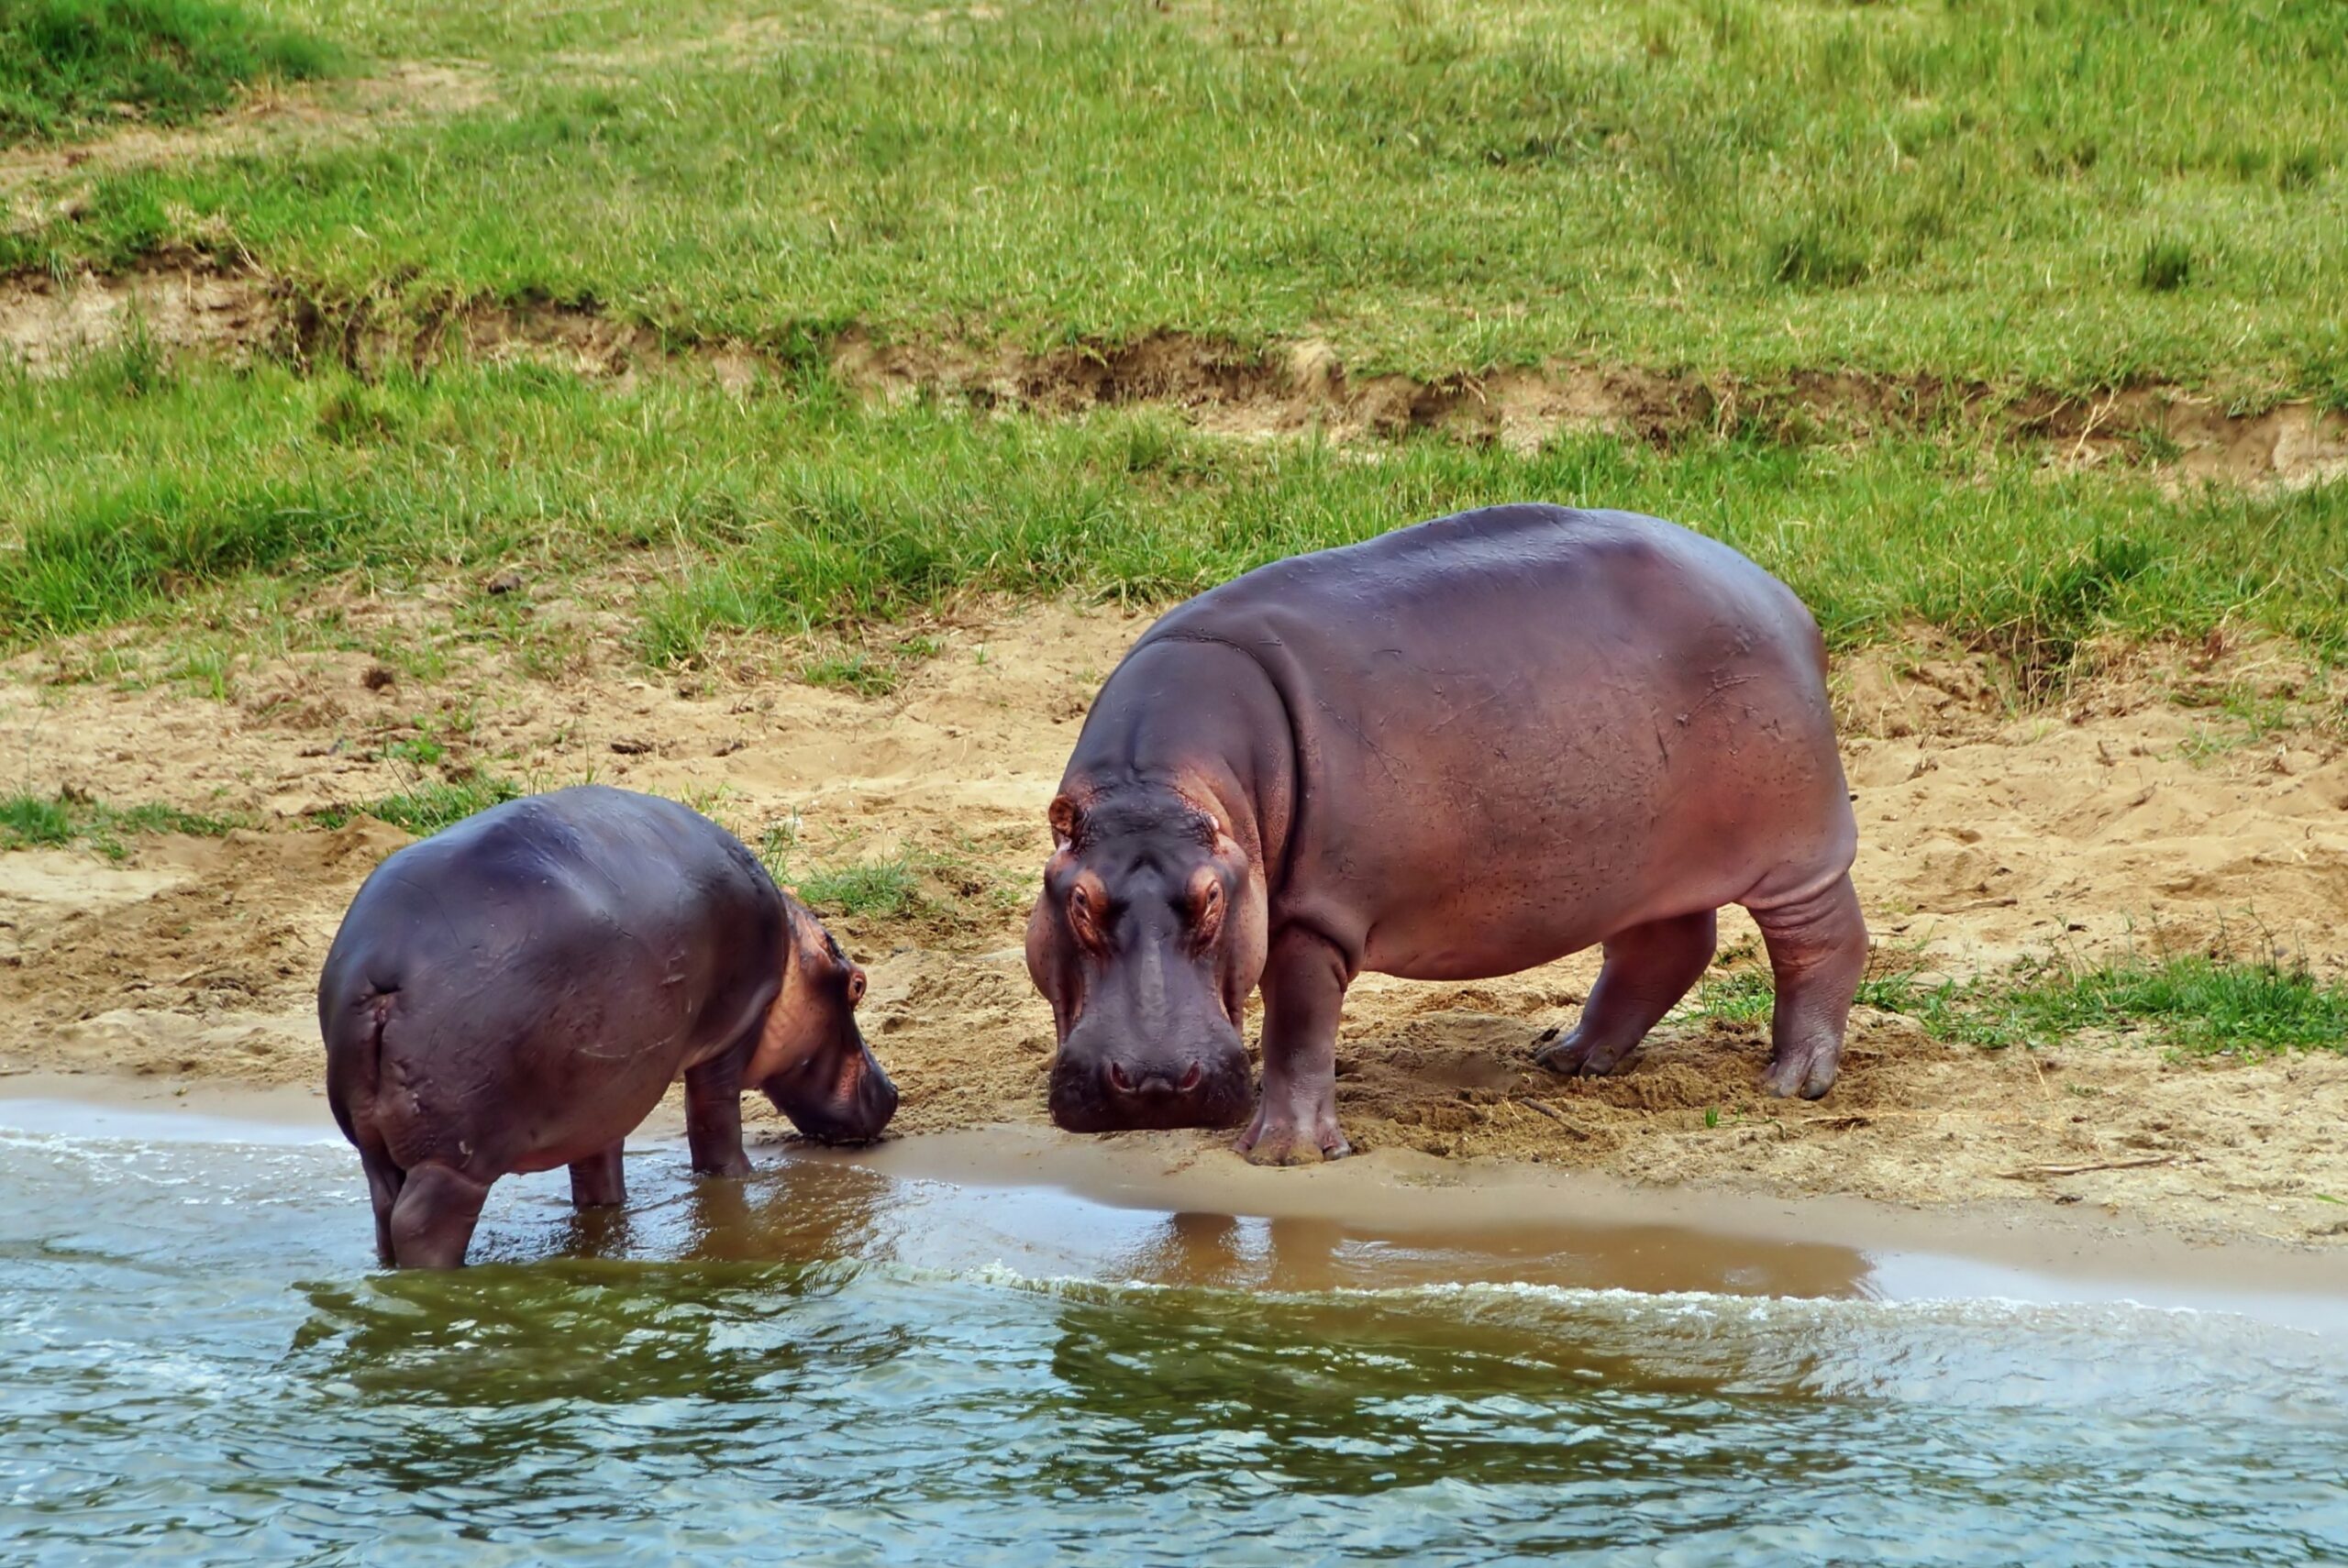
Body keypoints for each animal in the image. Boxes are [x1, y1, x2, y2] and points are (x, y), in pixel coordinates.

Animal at [321, 785, 896, 1267]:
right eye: (858, 984)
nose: (892, 1092)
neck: (793, 956)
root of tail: (383, 968)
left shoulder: (603, 1091)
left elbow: (598, 1169)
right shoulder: (732, 1034)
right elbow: (714, 1130)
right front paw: (740, 1182)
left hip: (379, 1146)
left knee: (384, 1210)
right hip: (456, 1162)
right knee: (420, 1223)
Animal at [1026, 505, 1865, 1164]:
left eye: (1209, 901)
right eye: (1077, 902)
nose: (1157, 1084)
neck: (1159, 782)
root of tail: (1784, 598)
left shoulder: (1314, 916)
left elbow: (1299, 1027)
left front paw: (1283, 1154)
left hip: (1799, 848)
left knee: (1821, 942)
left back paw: (1794, 1082)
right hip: (1641, 859)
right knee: (1668, 945)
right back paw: (1568, 1059)